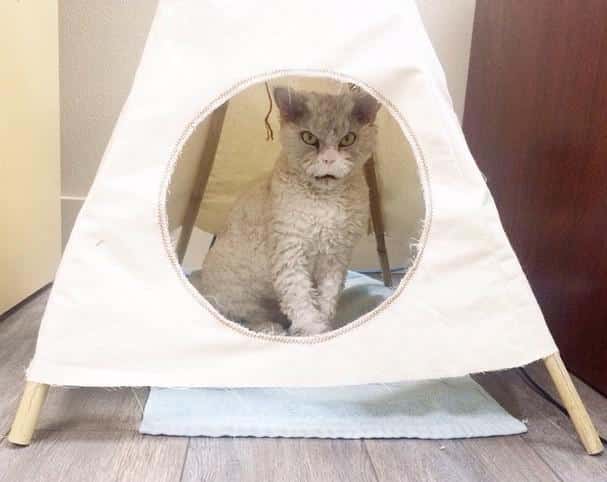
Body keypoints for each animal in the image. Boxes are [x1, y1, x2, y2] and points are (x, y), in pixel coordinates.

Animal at [199, 86, 380, 336]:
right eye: (309, 137)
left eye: (348, 139)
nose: (328, 159)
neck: (325, 201)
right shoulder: (289, 252)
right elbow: (301, 301)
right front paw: (313, 332)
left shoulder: (335, 259)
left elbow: (326, 301)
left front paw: (324, 328)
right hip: (237, 295)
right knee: (243, 318)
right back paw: (272, 329)